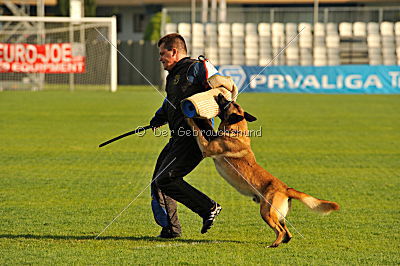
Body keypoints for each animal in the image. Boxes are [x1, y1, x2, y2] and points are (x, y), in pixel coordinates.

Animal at [186, 94, 340, 248]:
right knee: (286, 229)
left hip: (266, 212)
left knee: (280, 230)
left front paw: (189, 118)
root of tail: (285, 189)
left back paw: (274, 244)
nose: (220, 95)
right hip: (277, 214)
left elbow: (196, 130)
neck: (236, 130)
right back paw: (284, 240)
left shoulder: (206, 148)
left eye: (228, 103)